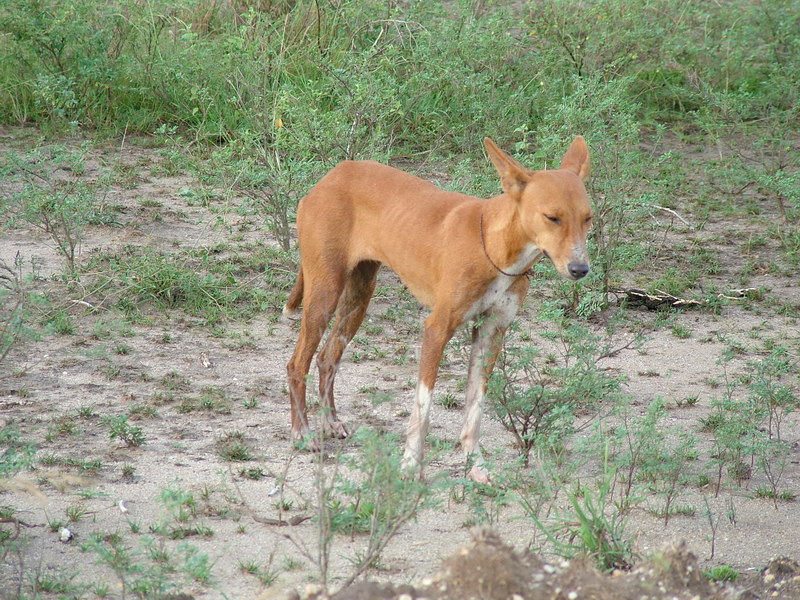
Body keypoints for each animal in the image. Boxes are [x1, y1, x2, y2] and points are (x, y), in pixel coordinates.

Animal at [284, 137, 592, 482]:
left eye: (588, 218)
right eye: (552, 217)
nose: (580, 269)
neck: (495, 247)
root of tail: (334, 174)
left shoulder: (492, 332)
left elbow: (475, 409)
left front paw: (476, 466)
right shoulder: (437, 329)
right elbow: (423, 409)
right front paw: (409, 466)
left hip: (357, 300)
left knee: (327, 359)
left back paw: (329, 421)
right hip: (324, 296)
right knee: (297, 365)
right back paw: (302, 434)